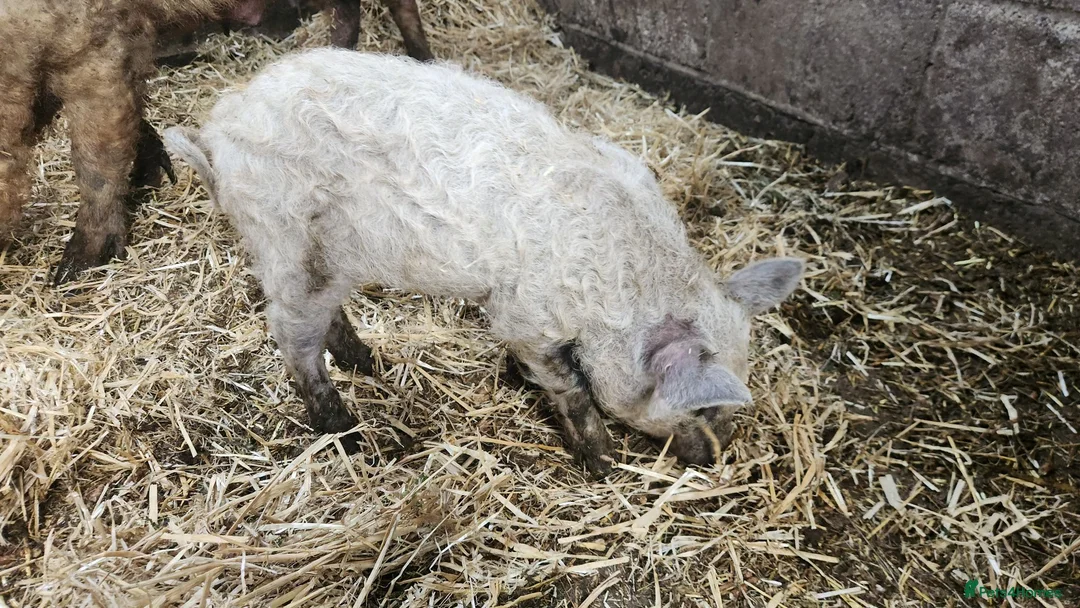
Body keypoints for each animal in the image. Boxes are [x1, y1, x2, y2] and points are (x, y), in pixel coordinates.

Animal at [163, 49, 803, 477]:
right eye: (706, 405)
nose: (713, 461)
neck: (618, 286)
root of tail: (218, 136)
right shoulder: (526, 317)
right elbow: (572, 391)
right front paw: (603, 466)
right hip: (290, 242)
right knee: (291, 338)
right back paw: (349, 435)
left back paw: (369, 363)